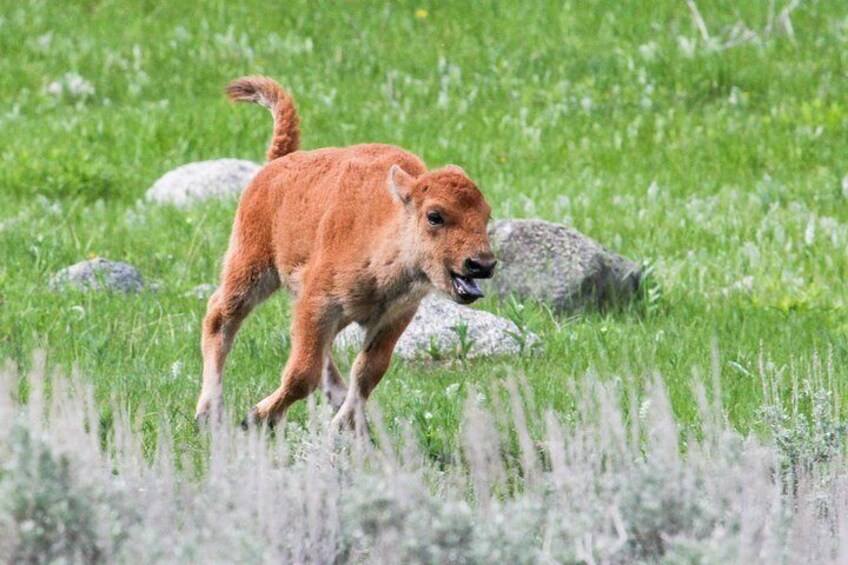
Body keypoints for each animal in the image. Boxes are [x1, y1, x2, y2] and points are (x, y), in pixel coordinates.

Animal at [195, 77, 494, 430]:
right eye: (435, 215)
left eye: (486, 216)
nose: (482, 264)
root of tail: (278, 163)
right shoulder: (318, 305)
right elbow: (302, 374)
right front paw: (258, 416)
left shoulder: (394, 316)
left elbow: (368, 371)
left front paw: (345, 426)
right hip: (250, 268)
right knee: (220, 318)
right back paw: (208, 411)